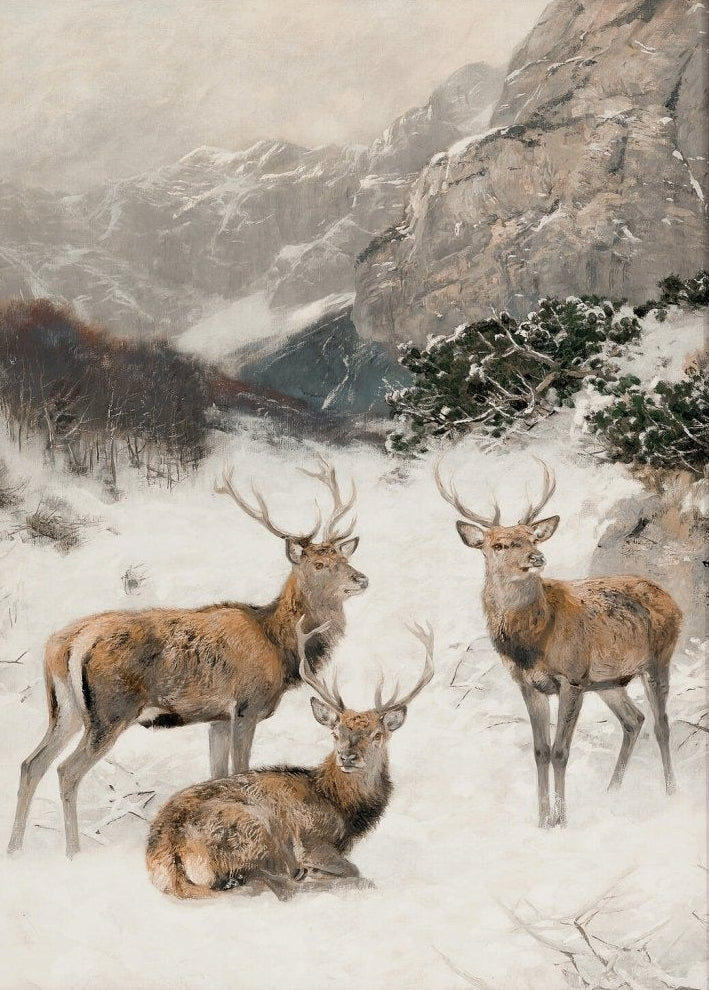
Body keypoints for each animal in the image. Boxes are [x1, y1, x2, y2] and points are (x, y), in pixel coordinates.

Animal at [8, 456, 368, 858]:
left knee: (31, 764)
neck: (280, 647)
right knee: (66, 771)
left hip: (65, 710)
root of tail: (65, 644)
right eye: (319, 564)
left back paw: (16, 848)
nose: (361, 579)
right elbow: (241, 772)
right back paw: (73, 852)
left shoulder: (217, 718)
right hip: (110, 711)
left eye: (342, 556)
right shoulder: (247, 707)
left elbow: (218, 776)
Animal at [146, 617, 434, 900]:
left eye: (377, 735)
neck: (340, 806)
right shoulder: (312, 841)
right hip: (252, 832)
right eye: (336, 732)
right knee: (280, 886)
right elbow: (352, 869)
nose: (347, 757)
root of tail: (168, 853)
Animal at [435, 459, 683, 828]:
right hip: (609, 681)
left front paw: (561, 821)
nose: (536, 557)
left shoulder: (573, 677)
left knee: (662, 724)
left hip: (657, 659)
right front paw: (541, 821)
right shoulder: (529, 684)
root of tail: (672, 600)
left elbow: (561, 752)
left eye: (531, 537)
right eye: (498, 545)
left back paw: (670, 792)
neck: (533, 641)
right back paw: (612, 790)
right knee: (633, 720)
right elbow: (540, 752)